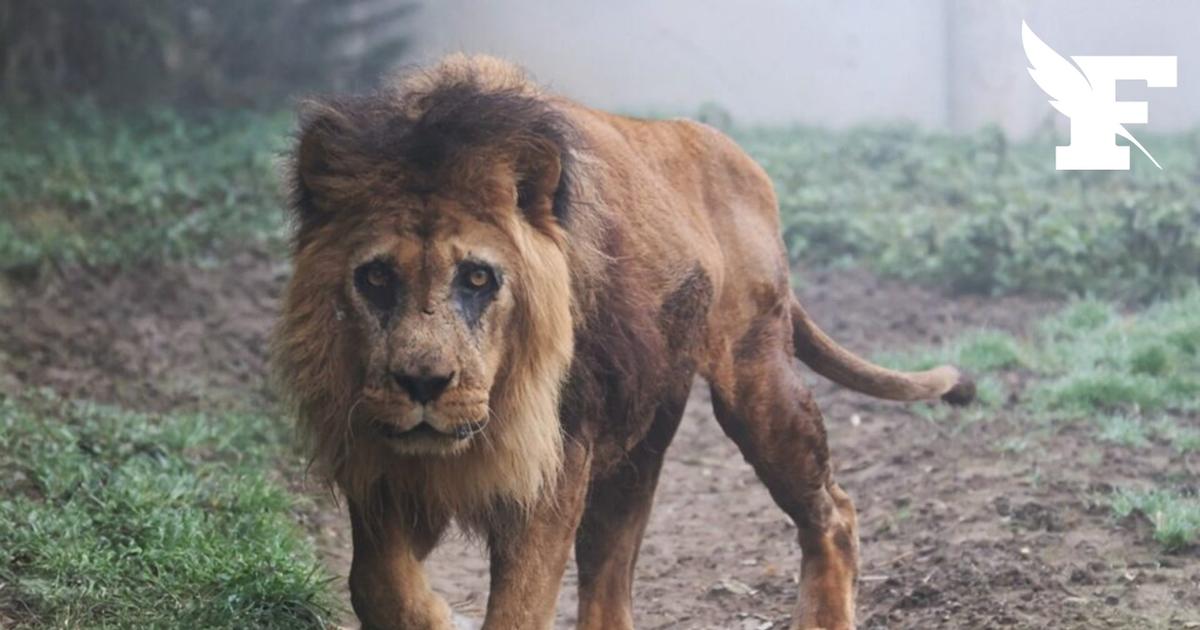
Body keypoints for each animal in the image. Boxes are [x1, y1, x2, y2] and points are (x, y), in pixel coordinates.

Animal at [272, 54, 973, 630]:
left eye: (476, 278)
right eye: (376, 278)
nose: (423, 384)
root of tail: (741, 160)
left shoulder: (557, 461)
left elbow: (519, 607)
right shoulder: (381, 459)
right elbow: (376, 584)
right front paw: (435, 614)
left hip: (756, 386)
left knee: (833, 512)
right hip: (636, 450)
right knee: (610, 589)